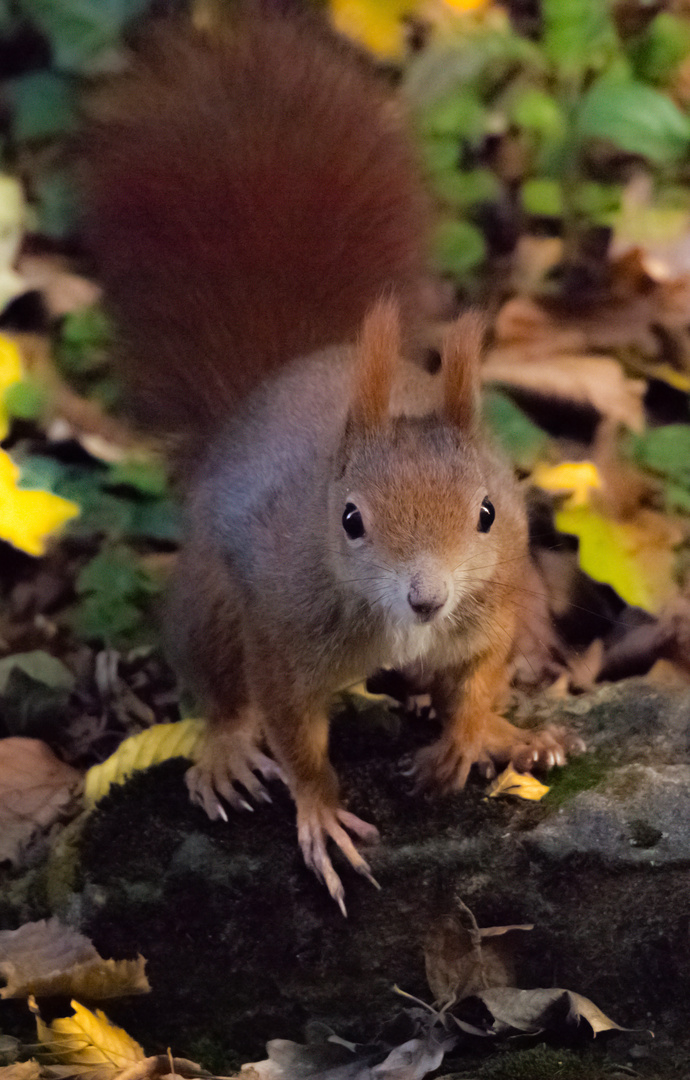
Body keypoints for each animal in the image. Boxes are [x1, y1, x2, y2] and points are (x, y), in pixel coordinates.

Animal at [83, 2, 574, 911]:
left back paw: (512, 734)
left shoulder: (490, 610)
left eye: (488, 512)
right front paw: (319, 812)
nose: (425, 596)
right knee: (219, 683)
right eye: (350, 520)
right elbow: (296, 734)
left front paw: (469, 737)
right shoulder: (284, 634)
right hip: (211, 597)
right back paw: (226, 752)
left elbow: (476, 678)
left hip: (527, 599)